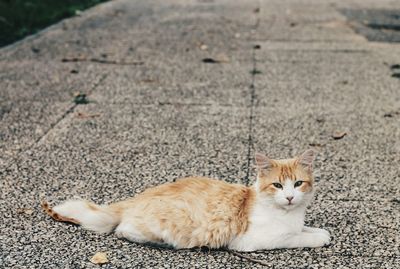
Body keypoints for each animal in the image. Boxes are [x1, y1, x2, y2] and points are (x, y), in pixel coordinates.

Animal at [40, 150, 330, 250]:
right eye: (278, 185)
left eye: (298, 184)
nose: (290, 197)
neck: (289, 214)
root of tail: (136, 197)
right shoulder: (251, 241)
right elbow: (297, 238)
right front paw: (318, 238)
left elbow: (306, 229)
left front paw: (320, 231)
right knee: (123, 230)